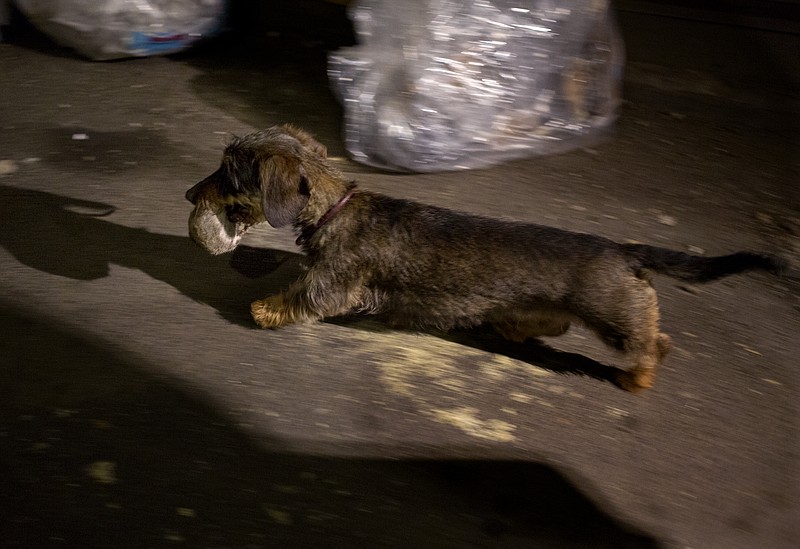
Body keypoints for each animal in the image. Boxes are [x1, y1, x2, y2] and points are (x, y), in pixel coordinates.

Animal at [188, 124, 788, 390]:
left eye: (228, 173)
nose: (190, 194)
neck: (336, 207)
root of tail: (622, 249)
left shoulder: (335, 284)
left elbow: (302, 295)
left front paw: (264, 309)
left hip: (614, 316)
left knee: (653, 342)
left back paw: (637, 376)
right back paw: (516, 328)